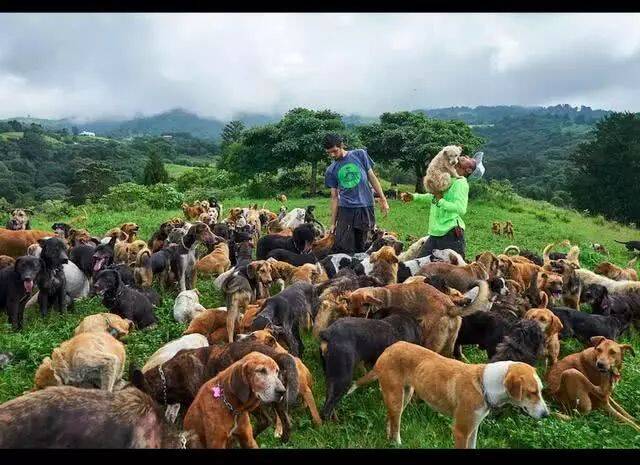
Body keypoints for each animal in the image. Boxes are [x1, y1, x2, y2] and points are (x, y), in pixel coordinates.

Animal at [350, 340, 552, 446]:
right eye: (532, 392)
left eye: (540, 391)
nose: (546, 415)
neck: (484, 385)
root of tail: (389, 348)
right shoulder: (461, 431)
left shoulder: (473, 428)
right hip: (397, 397)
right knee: (395, 423)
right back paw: (397, 442)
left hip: (403, 396)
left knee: (391, 419)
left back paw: (390, 439)